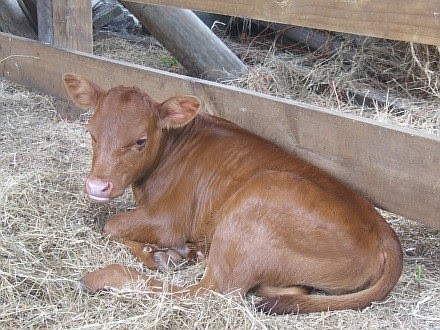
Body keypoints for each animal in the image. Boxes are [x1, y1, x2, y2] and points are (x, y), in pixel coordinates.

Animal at [62, 73, 402, 314]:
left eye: (140, 140)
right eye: (92, 133)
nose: (97, 186)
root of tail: (386, 234)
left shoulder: (168, 220)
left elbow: (111, 225)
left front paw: (154, 253)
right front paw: (166, 253)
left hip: (252, 207)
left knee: (209, 290)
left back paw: (106, 276)